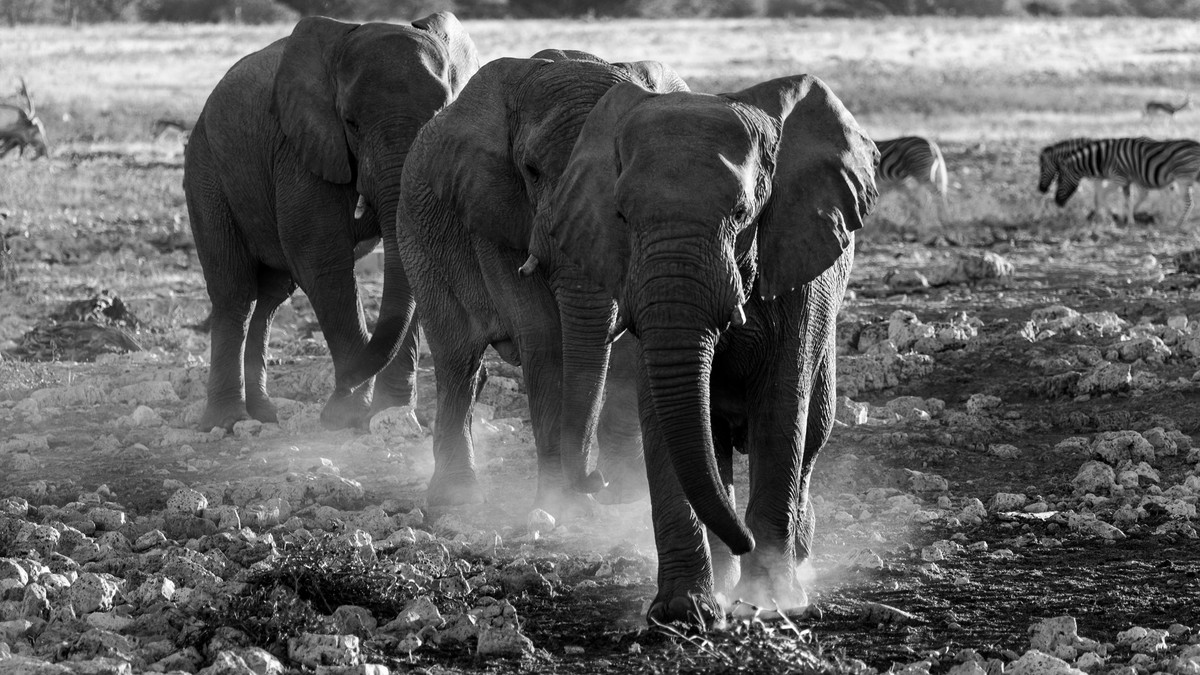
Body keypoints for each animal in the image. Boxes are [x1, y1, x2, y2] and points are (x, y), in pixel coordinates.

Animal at [183, 13, 479, 431]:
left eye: (440, 116)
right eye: (351, 123)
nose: (333, 396)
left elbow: (416, 260)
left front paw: (392, 415)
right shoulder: (300, 147)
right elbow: (323, 262)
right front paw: (346, 416)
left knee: (270, 296)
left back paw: (265, 414)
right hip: (206, 170)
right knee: (235, 293)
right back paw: (226, 422)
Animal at [394, 52, 685, 510]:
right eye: (531, 171)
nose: (594, 480)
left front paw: (623, 496)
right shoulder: (493, 209)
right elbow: (543, 333)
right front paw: (560, 506)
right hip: (416, 238)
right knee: (458, 358)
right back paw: (456, 499)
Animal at [529, 74, 878, 624]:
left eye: (742, 213)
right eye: (621, 216)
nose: (597, 482)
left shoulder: (797, 267)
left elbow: (781, 408)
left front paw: (770, 602)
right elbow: (662, 417)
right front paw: (681, 610)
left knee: (812, 432)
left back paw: (794, 560)